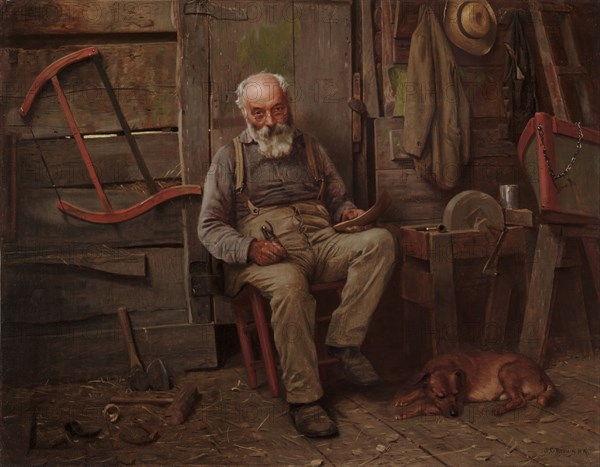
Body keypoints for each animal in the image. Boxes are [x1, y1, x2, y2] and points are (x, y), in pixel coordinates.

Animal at [394, 352, 556, 420]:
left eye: (457, 393)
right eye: (440, 396)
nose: (455, 414)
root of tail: (540, 370)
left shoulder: (457, 404)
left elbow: (422, 405)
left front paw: (404, 413)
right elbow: (419, 390)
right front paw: (403, 399)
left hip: (505, 371)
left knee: (520, 400)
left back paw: (500, 409)